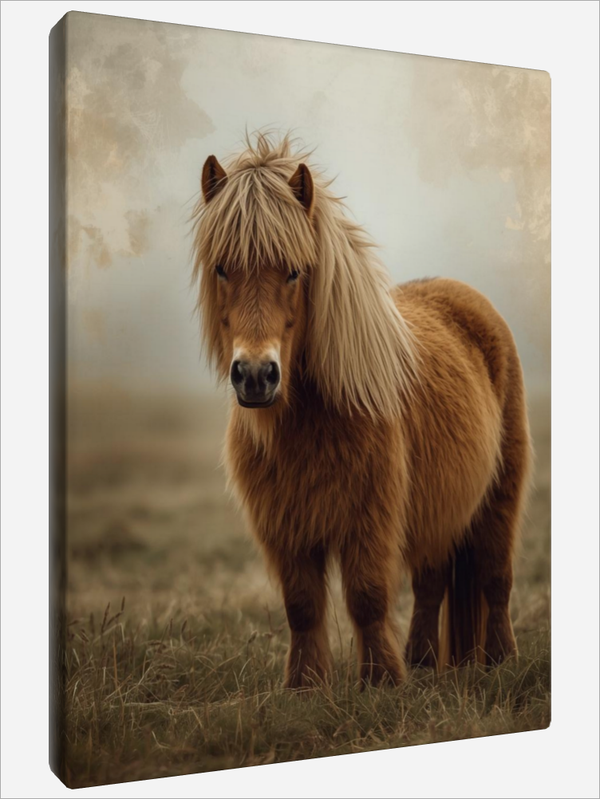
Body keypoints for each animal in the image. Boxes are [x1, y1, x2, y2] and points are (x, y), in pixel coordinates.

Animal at [191, 132, 532, 689]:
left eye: (294, 271)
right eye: (222, 268)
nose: (256, 376)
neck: (311, 420)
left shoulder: (368, 517)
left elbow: (367, 598)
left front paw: (381, 681)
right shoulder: (285, 526)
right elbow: (302, 605)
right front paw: (306, 685)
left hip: (498, 496)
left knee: (495, 577)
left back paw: (501, 662)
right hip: (435, 513)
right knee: (432, 582)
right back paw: (424, 661)